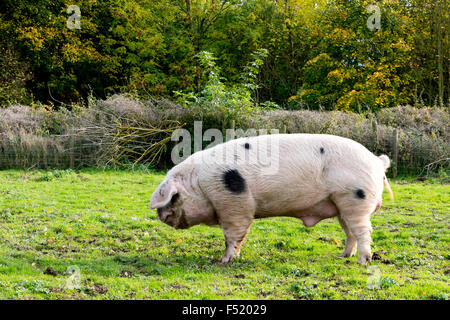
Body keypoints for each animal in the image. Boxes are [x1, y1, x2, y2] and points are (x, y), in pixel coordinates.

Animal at [149, 133, 392, 264]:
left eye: (173, 197)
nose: (160, 215)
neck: (198, 182)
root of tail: (377, 161)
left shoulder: (234, 203)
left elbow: (233, 235)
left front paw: (225, 260)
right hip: (342, 204)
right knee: (350, 232)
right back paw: (343, 256)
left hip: (356, 198)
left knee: (363, 231)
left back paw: (363, 261)